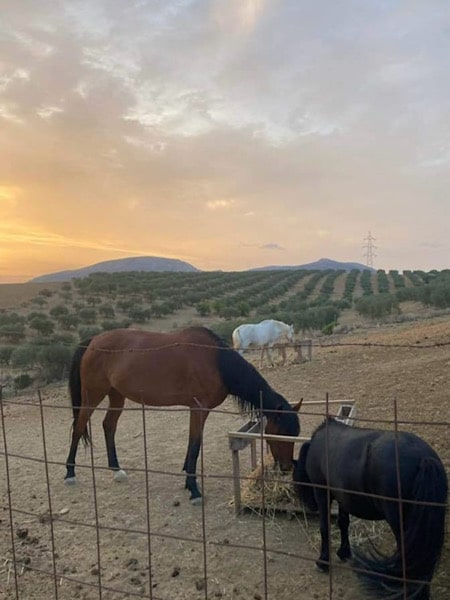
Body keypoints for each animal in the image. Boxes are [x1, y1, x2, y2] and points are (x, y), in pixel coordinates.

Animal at [64, 326, 298, 504]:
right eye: (281, 434)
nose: (287, 468)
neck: (216, 361)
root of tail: (92, 341)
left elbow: (193, 445)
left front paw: (187, 475)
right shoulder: (198, 409)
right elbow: (194, 445)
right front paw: (193, 489)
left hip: (116, 396)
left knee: (108, 426)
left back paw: (116, 470)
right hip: (92, 396)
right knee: (79, 427)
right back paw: (70, 473)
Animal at [292, 418, 446, 600]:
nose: (310, 505)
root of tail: (423, 458)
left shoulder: (322, 492)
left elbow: (325, 527)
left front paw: (323, 562)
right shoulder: (343, 497)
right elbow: (343, 523)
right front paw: (344, 552)